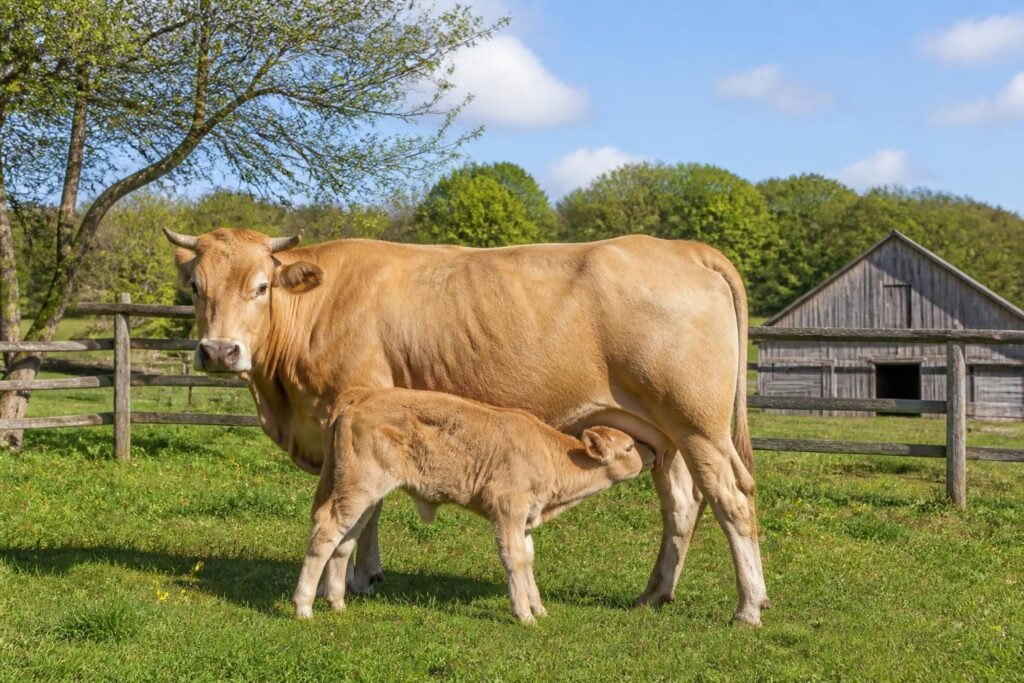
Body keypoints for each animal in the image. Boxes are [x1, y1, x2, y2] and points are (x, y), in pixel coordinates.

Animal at [293, 387, 655, 624]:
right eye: (627, 446)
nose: (652, 452)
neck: (550, 454)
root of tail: (361, 396)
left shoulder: (525, 519)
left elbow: (527, 558)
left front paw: (538, 607)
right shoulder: (508, 509)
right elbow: (513, 558)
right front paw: (524, 614)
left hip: (362, 493)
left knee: (346, 539)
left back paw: (337, 602)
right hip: (359, 486)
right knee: (326, 530)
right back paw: (304, 606)